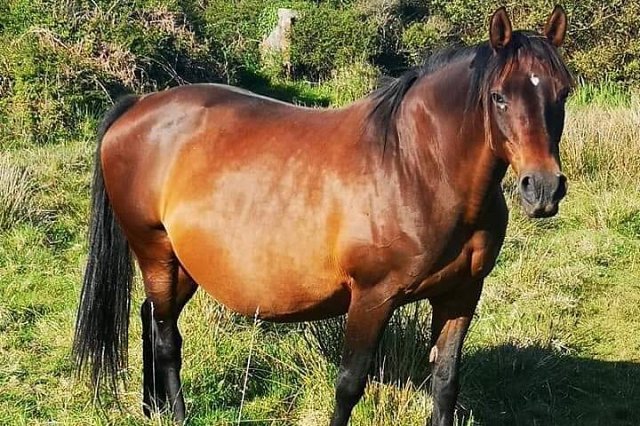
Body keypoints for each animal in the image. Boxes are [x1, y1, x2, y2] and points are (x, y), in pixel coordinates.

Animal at [73, 6, 572, 425]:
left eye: (563, 93)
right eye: (499, 97)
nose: (543, 188)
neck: (415, 167)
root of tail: (139, 107)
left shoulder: (461, 295)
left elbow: (446, 383)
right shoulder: (371, 299)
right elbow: (349, 385)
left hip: (183, 263)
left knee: (150, 316)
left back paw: (150, 407)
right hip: (154, 250)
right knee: (165, 336)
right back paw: (176, 414)